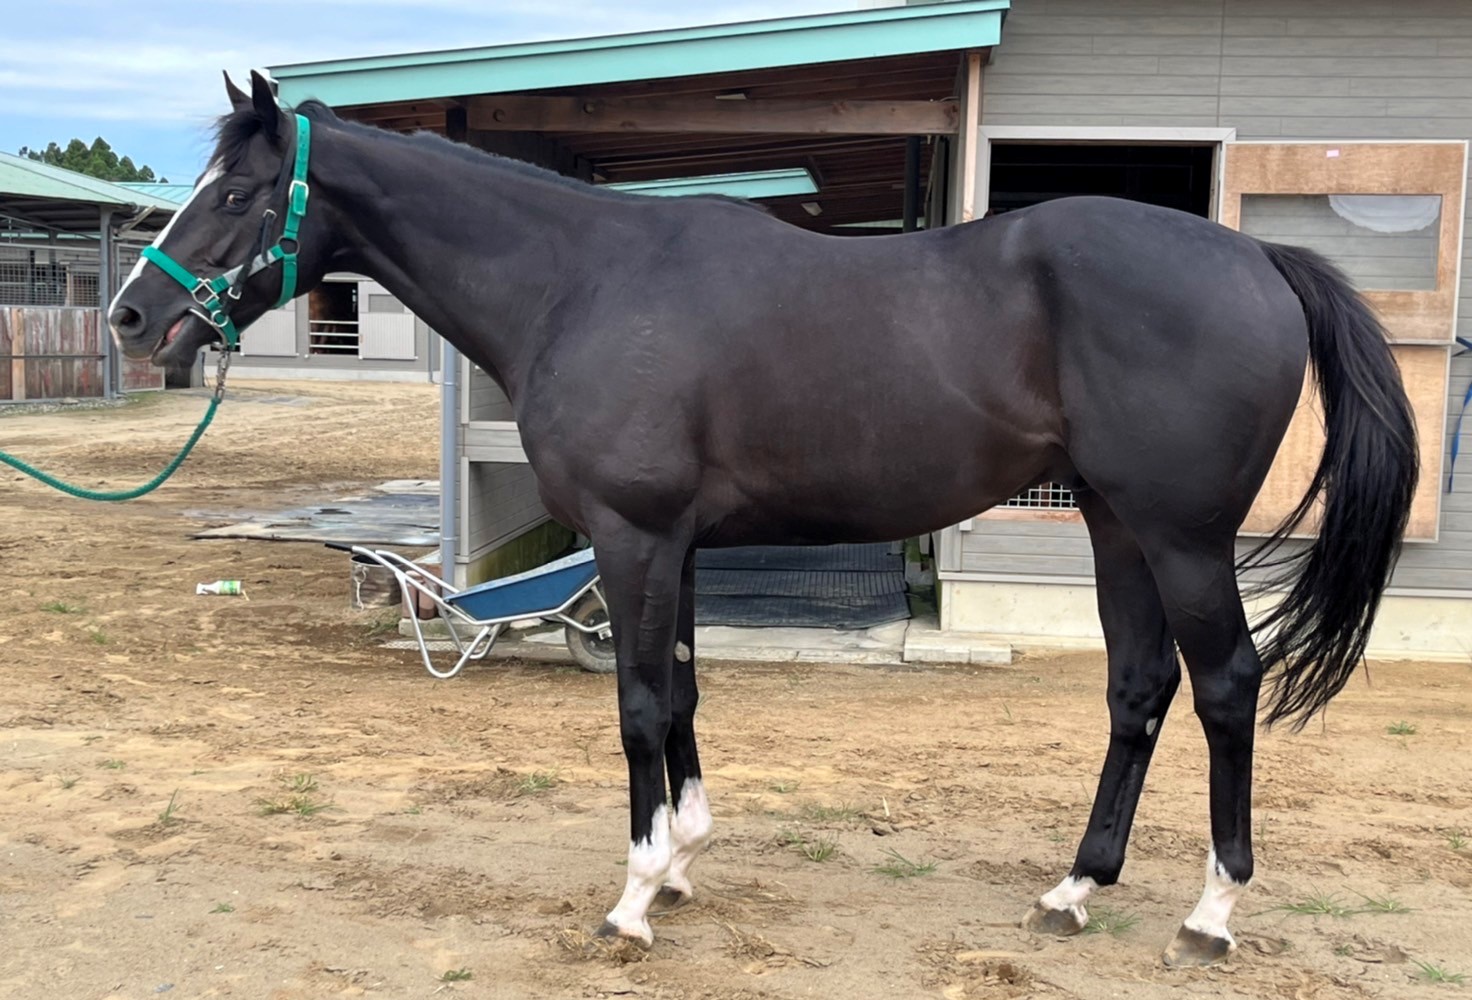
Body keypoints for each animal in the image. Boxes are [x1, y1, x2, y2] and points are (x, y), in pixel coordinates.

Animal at [108, 71, 1417, 967]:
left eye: (235, 192)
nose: (131, 318)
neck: (582, 282)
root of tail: (1256, 258)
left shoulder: (634, 536)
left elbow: (638, 705)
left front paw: (633, 896)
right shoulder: (673, 546)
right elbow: (684, 691)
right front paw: (685, 860)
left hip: (1180, 536)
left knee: (1225, 686)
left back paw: (1208, 911)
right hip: (1112, 523)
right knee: (1137, 688)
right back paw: (1072, 889)